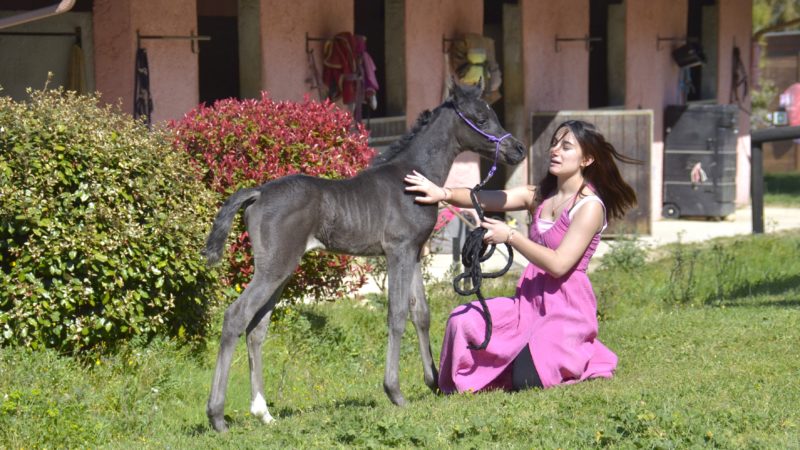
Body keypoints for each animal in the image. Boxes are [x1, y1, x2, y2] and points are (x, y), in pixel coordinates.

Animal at [203, 82, 525, 432]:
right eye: (480, 117)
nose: (518, 149)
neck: (411, 180)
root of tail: (257, 192)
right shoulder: (398, 251)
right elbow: (397, 314)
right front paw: (395, 392)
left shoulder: (414, 252)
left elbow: (421, 313)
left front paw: (434, 382)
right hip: (275, 267)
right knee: (236, 316)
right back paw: (217, 416)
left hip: (281, 270)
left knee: (256, 328)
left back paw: (263, 412)